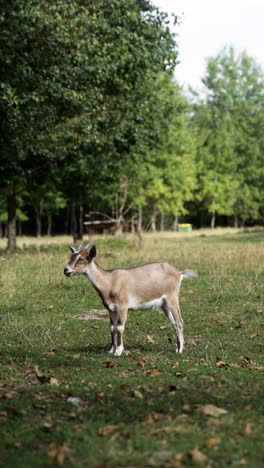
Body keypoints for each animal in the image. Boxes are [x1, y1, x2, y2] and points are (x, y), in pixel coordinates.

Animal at [63, 243, 198, 356]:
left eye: (81, 259)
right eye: (72, 256)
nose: (66, 270)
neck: (110, 281)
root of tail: (178, 272)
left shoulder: (123, 307)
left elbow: (119, 327)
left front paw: (118, 351)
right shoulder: (111, 309)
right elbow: (112, 328)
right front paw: (111, 350)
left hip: (172, 299)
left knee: (179, 321)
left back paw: (180, 350)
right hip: (164, 304)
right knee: (174, 322)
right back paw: (177, 347)